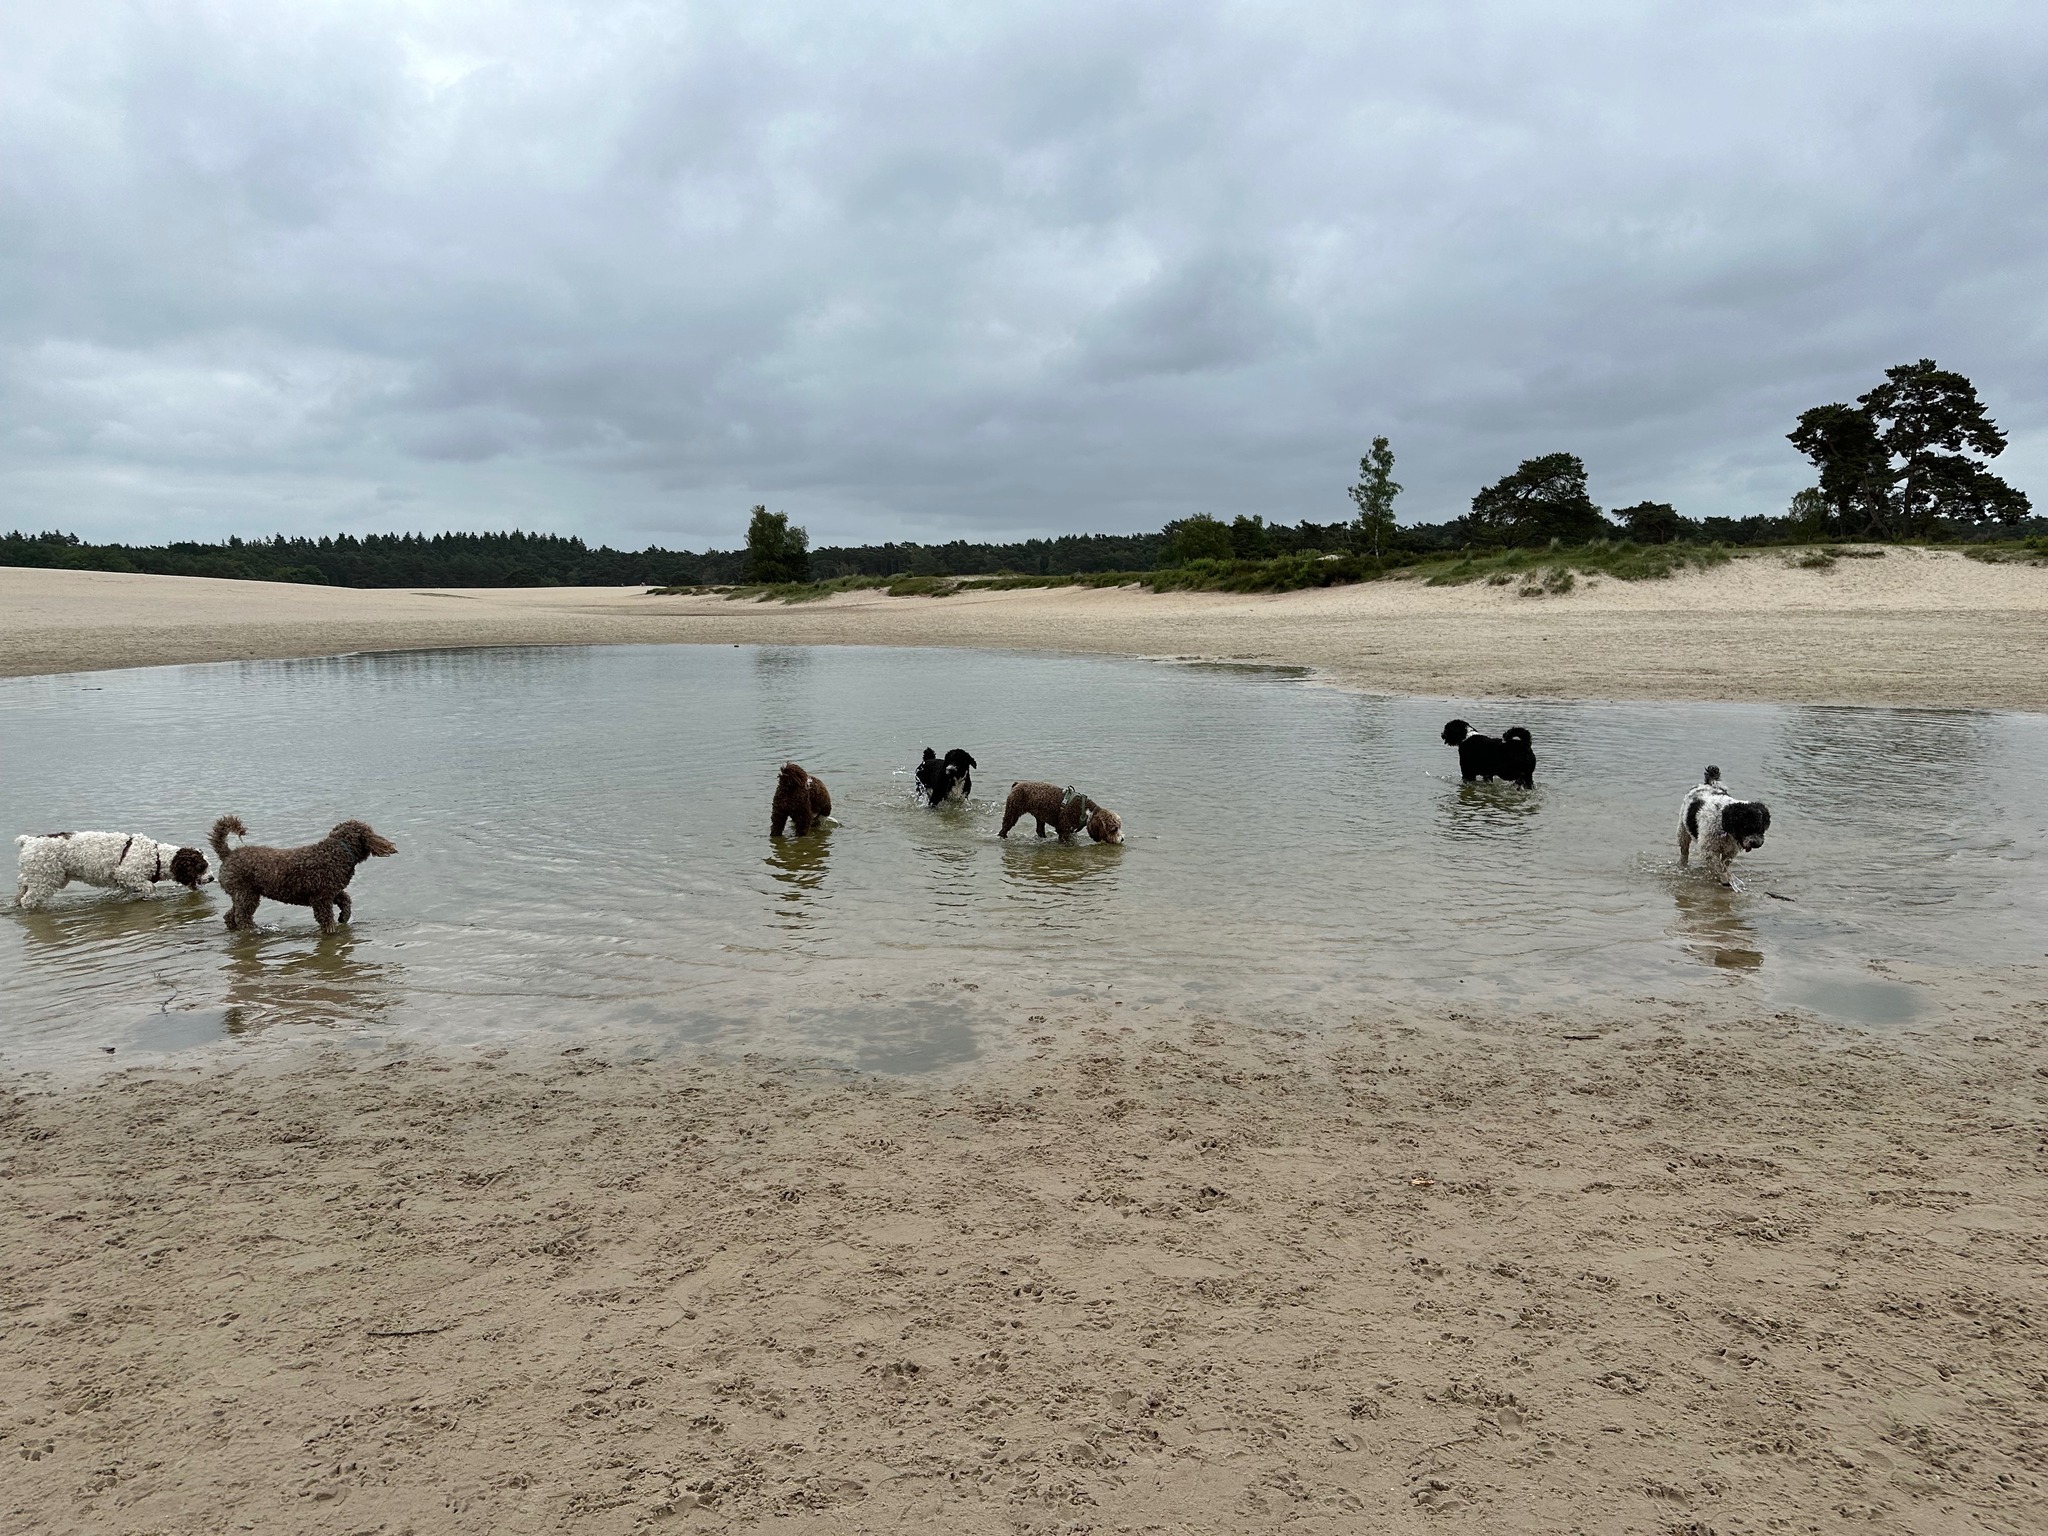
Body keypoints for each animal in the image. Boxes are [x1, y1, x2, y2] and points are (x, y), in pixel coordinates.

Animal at [13, 831, 211, 913]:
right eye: (202, 867)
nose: (211, 878)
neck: (157, 857)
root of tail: (28, 841)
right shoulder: (128, 874)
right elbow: (150, 888)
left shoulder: (126, 882)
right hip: (45, 880)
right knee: (28, 900)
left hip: (33, 877)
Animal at [211, 819, 399, 937]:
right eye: (371, 831)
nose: (389, 844)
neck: (337, 852)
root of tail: (228, 854)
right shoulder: (321, 898)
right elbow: (326, 918)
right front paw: (332, 930)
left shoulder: (331, 891)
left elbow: (346, 900)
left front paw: (344, 917)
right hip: (246, 895)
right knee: (241, 917)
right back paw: (254, 930)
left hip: (242, 896)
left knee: (230, 916)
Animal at [991, 786, 1122, 847]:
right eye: (1114, 829)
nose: (1122, 839)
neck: (1085, 811)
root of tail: (1017, 784)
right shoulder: (1064, 830)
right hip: (1012, 812)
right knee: (1004, 828)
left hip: (1040, 817)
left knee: (1039, 830)